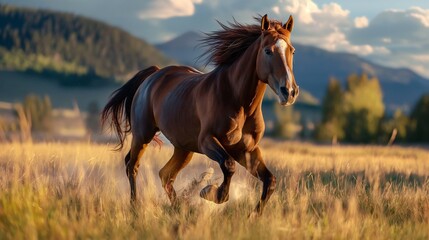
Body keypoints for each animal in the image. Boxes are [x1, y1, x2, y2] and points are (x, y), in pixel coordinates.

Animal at [102, 14, 300, 215]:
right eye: (268, 51)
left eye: (292, 50)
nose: (289, 91)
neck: (238, 101)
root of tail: (153, 75)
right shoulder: (207, 141)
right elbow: (229, 165)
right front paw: (210, 192)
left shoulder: (247, 150)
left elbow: (270, 180)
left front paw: (253, 215)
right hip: (143, 135)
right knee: (132, 166)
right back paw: (135, 206)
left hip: (183, 148)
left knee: (165, 175)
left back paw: (180, 208)